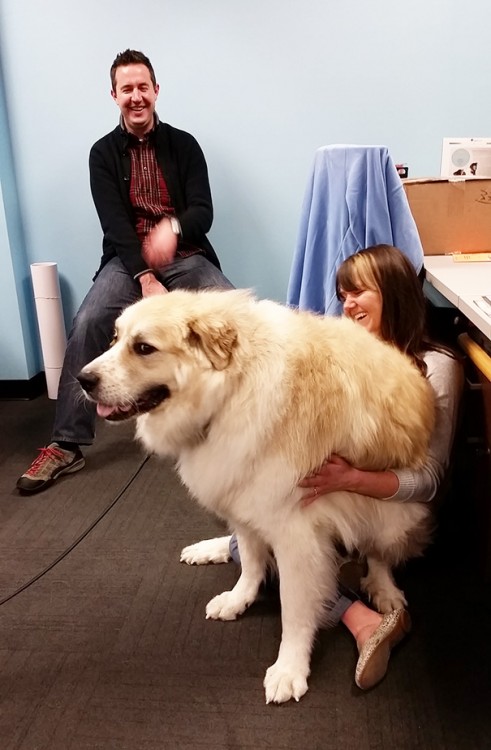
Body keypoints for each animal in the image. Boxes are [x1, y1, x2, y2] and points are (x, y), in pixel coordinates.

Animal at [79, 288, 436, 704]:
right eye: (114, 339)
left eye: (143, 347)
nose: (82, 379)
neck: (232, 390)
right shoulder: (242, 495)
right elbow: (250, 562)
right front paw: (239, 599)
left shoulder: (296, 534)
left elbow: (294, 609)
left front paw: (290, 668)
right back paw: (209, 549)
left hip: (394, 515)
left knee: (379, 554)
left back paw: (384, 590)